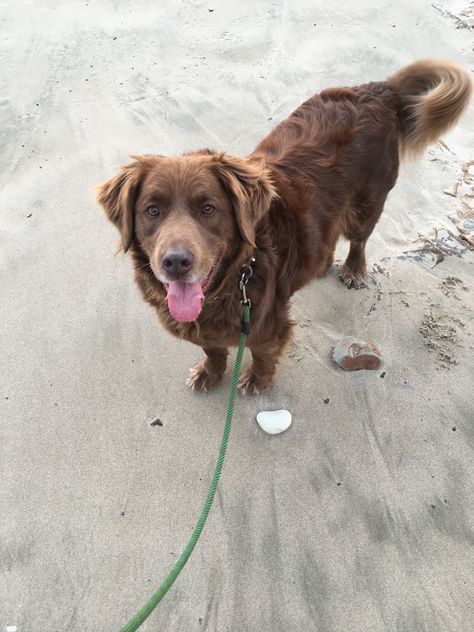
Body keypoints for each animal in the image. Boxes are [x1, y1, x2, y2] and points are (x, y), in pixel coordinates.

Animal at [96, 60, 470, 396]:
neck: (236, 277)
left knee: (359, 240)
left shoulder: (267, 324)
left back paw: (353, 269)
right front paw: (209, 373)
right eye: (152, 210)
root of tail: (377, 90)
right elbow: (213, 350)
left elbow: (262, 356)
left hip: (368, 202)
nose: (175, 262)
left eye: (208, 208)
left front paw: (257, 382)